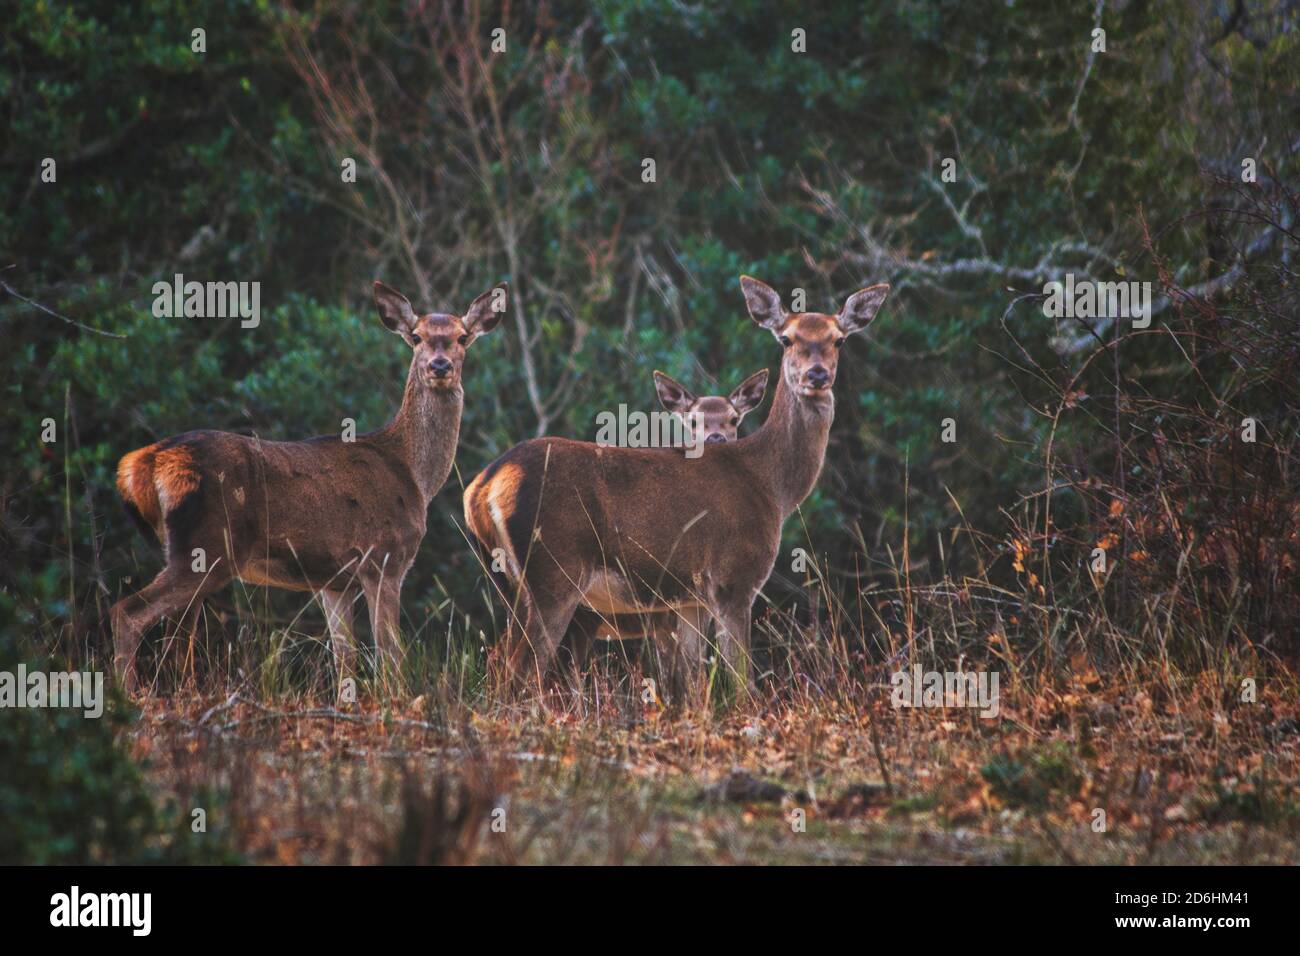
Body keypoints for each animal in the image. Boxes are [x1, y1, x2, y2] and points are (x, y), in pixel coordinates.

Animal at [110, 280, 505, 696]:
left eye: (462, 337)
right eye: (416, 337)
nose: (439, 365)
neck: (413, 474)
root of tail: (138, 465)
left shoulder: (334, 582)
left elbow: (345, 658)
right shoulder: (384, 557)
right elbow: (390, 655)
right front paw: (396, 700)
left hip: (185, 551)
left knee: (175, 633)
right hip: (208, 545)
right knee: (128, 612)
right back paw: (128, 695)